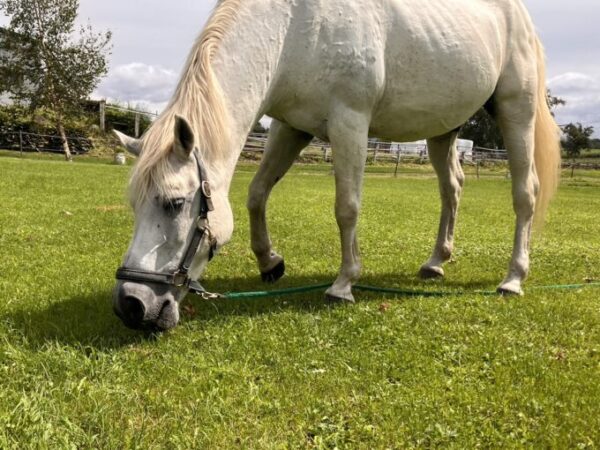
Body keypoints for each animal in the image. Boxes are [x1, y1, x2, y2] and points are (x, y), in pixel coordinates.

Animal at [111, 0, 556, 330]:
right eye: (134, 205)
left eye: (175, 203)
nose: (131, 305)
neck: (292, 27)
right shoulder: (289, 127)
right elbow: (257, 193)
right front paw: (270, 262)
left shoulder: (350, 122)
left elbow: (347, 207)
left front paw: (343, 284)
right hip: (444, 129)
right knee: (453, 188)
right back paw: (435, 263)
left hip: (516, 111)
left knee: (525, 193)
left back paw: (513, 278)